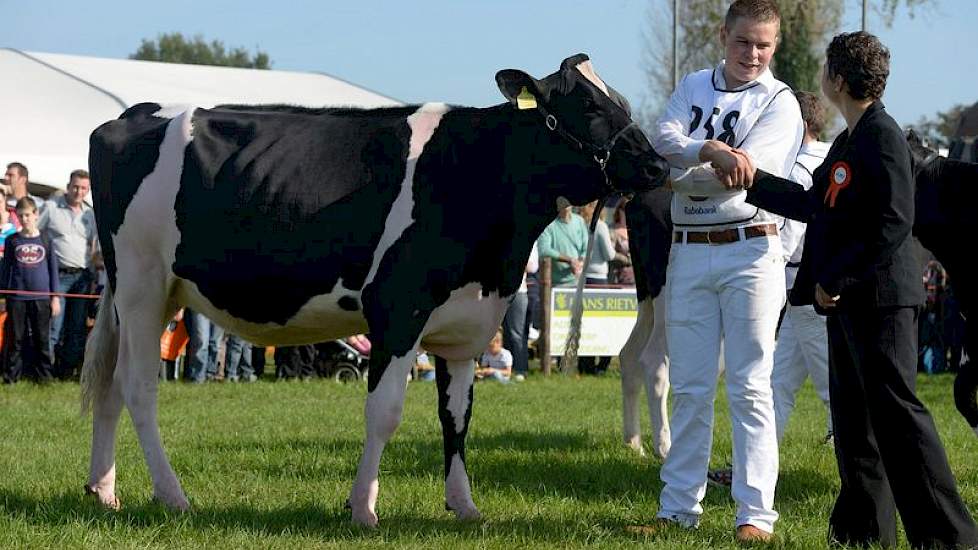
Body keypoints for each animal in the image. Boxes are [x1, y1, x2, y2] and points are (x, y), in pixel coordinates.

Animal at [80, 55, 668, 528]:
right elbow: (384, 412)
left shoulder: (468, 326)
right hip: (140, 285)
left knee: (111, 386)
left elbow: (458, 418)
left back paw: (103, 491)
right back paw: (172, 495)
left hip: (150, 295)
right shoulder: (397, 311)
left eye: (619, 100)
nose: (658, 163)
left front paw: (464, 506)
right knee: (139, 387)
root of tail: (132, 114)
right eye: (588, 105)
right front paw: (363, 507)